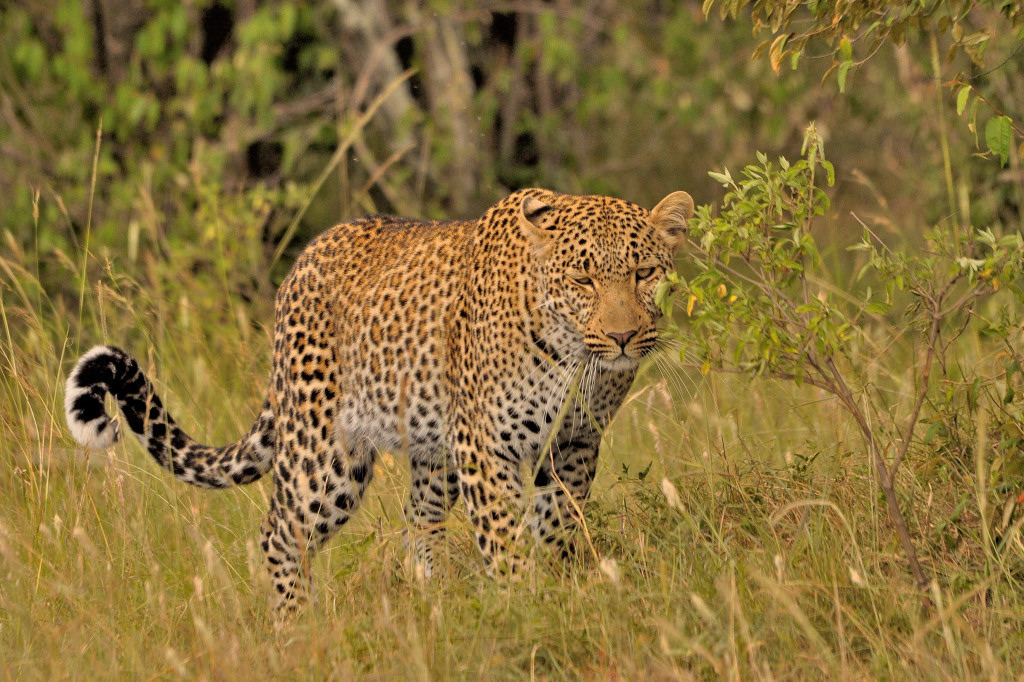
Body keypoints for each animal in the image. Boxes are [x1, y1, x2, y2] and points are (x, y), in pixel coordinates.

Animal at [66, 186, 696, 614]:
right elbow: (504, 539)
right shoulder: (486, 446)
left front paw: (559, 592)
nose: (622, 336)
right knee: (280, 533)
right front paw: (526, 606)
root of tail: (300, 262)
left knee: (419, 522)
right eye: (584, 280)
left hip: (433, 454)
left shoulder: (574, 444)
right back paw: (296, 631)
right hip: (326, 458)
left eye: (644, 273)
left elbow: (558, 525)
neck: (573, 360)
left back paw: (434, 606)